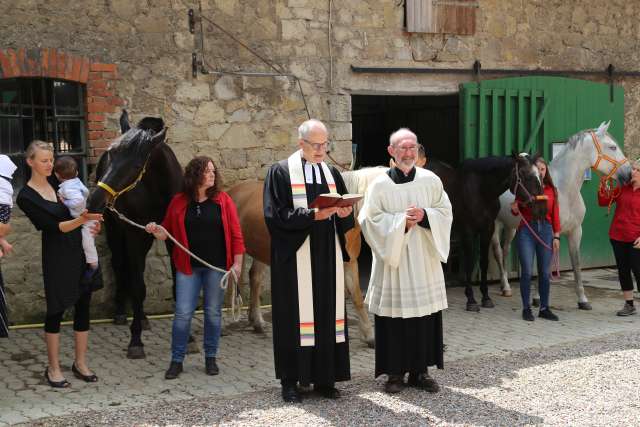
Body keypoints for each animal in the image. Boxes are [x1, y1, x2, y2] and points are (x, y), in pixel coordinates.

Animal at [87, 112, 182, 360]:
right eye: (111, 154)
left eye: (137, 164)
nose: (94, 200)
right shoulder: (133, 233)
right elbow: (138, 285)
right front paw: (135, 341)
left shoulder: (172, 236)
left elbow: (178, 283)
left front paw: (188, 339)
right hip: (116, 229)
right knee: (121, 265)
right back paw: (122, 312)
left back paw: (144, 317)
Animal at [428, 155, 544, 312]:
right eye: (525, 174)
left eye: (539, 174)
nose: (540, 207)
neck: (481, 190)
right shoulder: (468, 231)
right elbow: (470, 263)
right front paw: (471, 300)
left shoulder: (488, 229)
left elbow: (484, 262)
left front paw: (486, 298)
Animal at [492, 122, 632, 310]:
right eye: (612, 147)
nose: (629, 173)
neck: (565, 191)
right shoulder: (548, 232)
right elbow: (543, 264)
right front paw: (538, 298)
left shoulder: (575, 232)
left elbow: (576, 264)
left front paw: (583, 300)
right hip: (495, 224)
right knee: (498, 252)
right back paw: (506, 286)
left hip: (511, 226)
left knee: (505, 250)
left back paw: (504, 286)